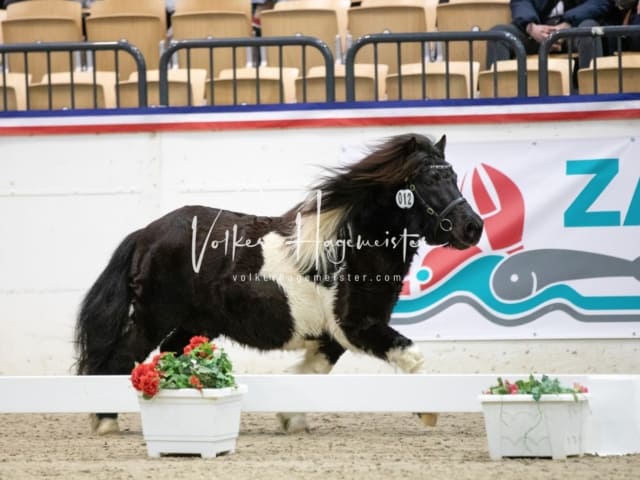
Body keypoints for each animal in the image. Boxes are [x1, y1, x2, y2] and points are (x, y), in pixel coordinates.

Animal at [75, 132, 482, 436]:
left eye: (453, 175)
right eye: (430, 179)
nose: (472, 227)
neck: (350, 246)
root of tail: (146, 233)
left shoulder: (333, 336)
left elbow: (310, 372)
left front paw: (290, 418)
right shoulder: (358, 326)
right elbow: (412, 355)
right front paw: (428, 412)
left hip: (197, 323)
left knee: (169, 356)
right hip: (154, 316)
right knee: (120, 358)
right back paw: (105, 422)